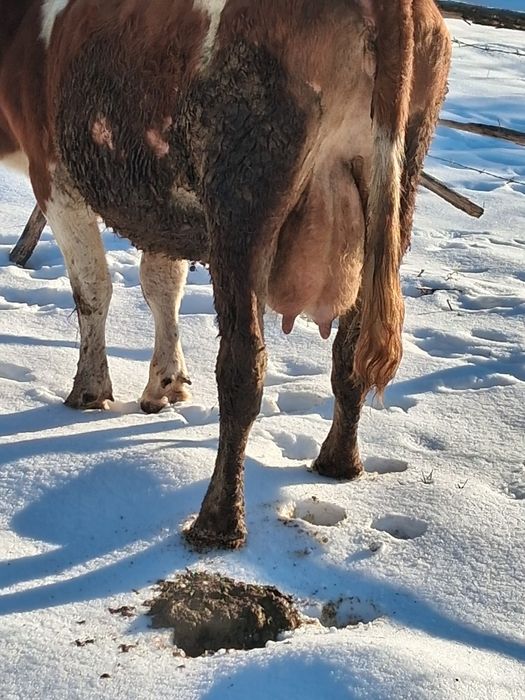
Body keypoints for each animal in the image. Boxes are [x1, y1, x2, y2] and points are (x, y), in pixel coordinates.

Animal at [0, 0, 451, 549]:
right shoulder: (161, 206)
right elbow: (162, 285)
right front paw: (166, 384)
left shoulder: (55, 175)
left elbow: (93, 290)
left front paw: (90, 391)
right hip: (393, 196)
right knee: (350, 356)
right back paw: (338, 463)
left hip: (241, 206)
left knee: (242, 370)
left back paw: (216, 521)